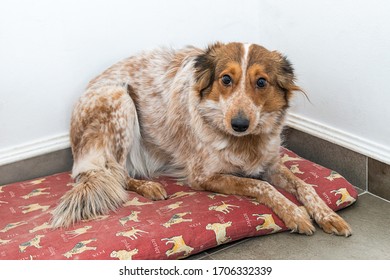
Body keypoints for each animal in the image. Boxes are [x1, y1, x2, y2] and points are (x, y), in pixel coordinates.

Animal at [50, 41, 352, 236]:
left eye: (262, 82)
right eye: (226, 79)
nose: (239, 124)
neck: (244, 142)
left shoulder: (270, 164)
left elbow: (305, 186)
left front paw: (327, 214)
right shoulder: (203, 176)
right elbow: (261, 186)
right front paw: (296, 214)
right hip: (119, 99)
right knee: (114, 172)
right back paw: (150, 187)